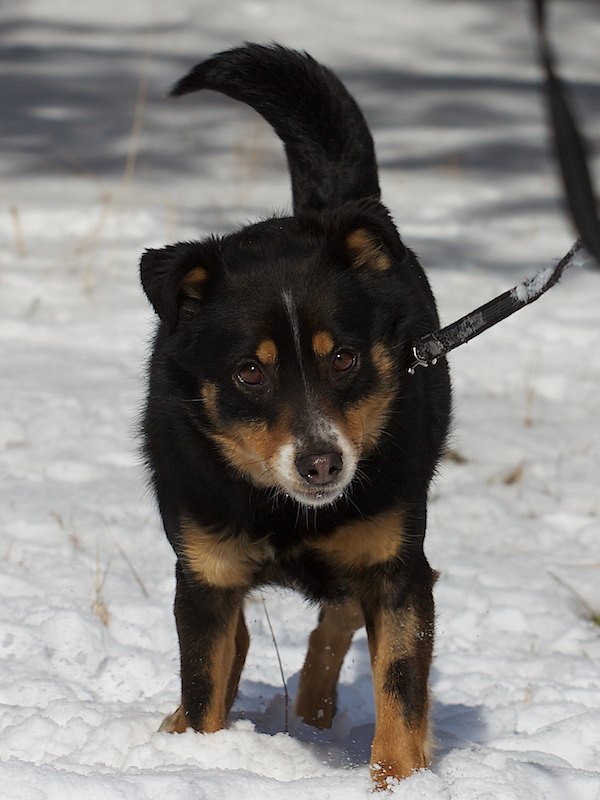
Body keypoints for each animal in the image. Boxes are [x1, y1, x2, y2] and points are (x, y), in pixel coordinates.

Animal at [140, 43, 451, 789]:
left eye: (342, 358)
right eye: (250, 371)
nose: (323, 462)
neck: (284, 511)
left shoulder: (398, 569)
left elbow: (400, 687)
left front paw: (396, 780)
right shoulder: (205, 572)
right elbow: (205, 680)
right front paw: (201, 752)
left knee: (334, 619)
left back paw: (312, 711)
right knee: (241, 638)